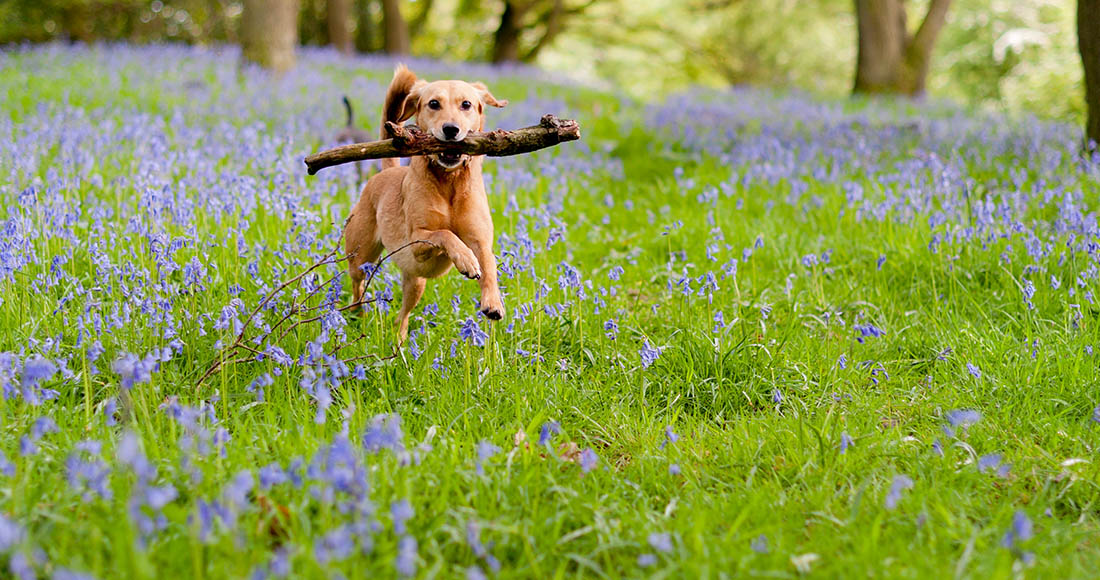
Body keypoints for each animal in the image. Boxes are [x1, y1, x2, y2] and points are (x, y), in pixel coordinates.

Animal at [341, 65, 508, 343]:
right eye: (433, 103)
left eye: (466, 104)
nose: (451, 129)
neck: (449, 181)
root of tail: (387, 171)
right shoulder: (417, 240)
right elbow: (445, 234)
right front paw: (465, 259)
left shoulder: (481, 238)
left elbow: (488, 264)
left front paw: (493, 302)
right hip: (361, 256)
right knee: (357, 284)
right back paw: (357, 313)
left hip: (415, 282)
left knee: (403, 315)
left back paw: (398, 339)